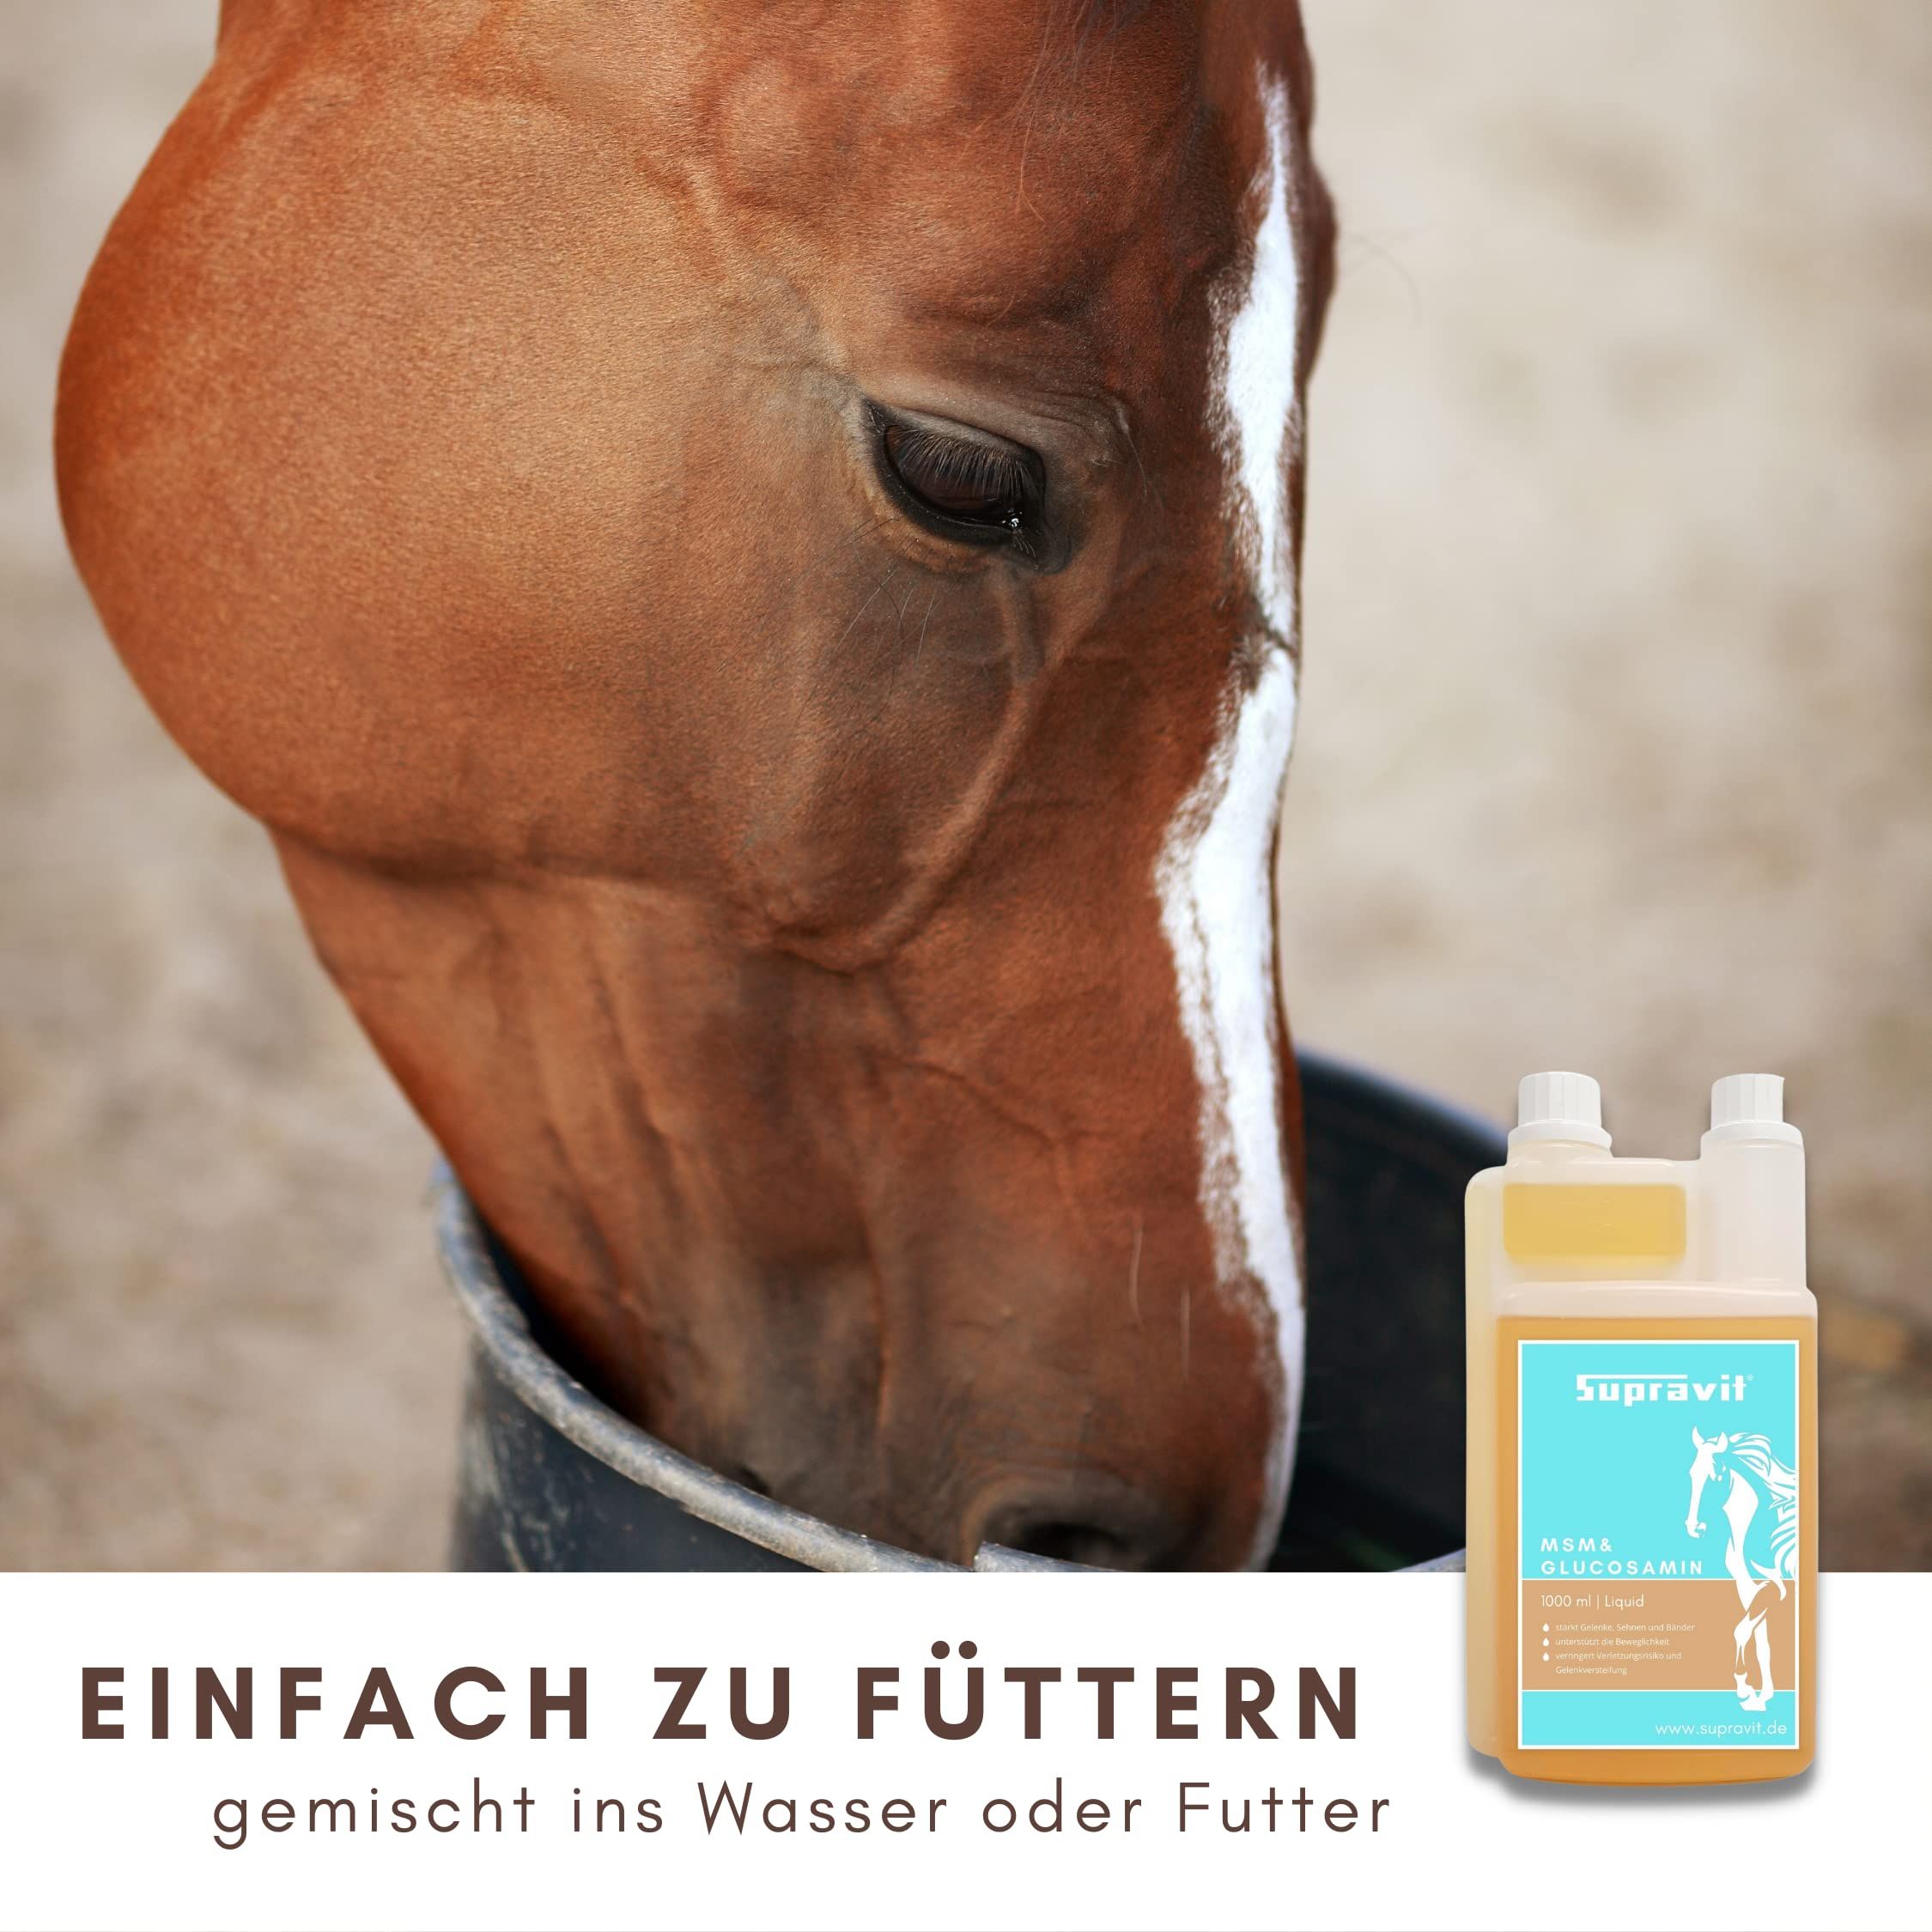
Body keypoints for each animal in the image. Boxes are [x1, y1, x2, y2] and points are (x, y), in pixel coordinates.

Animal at [1685, 1426, 1799, 1709]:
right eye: (1691, 1473)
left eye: (1715, 1477)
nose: (1694, 1527)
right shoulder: (1749, 1589)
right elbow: (1761, 1643)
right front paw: (1761, 1693)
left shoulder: (1776, 1588)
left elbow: (1741, 1631)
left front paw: (1746, 1689)